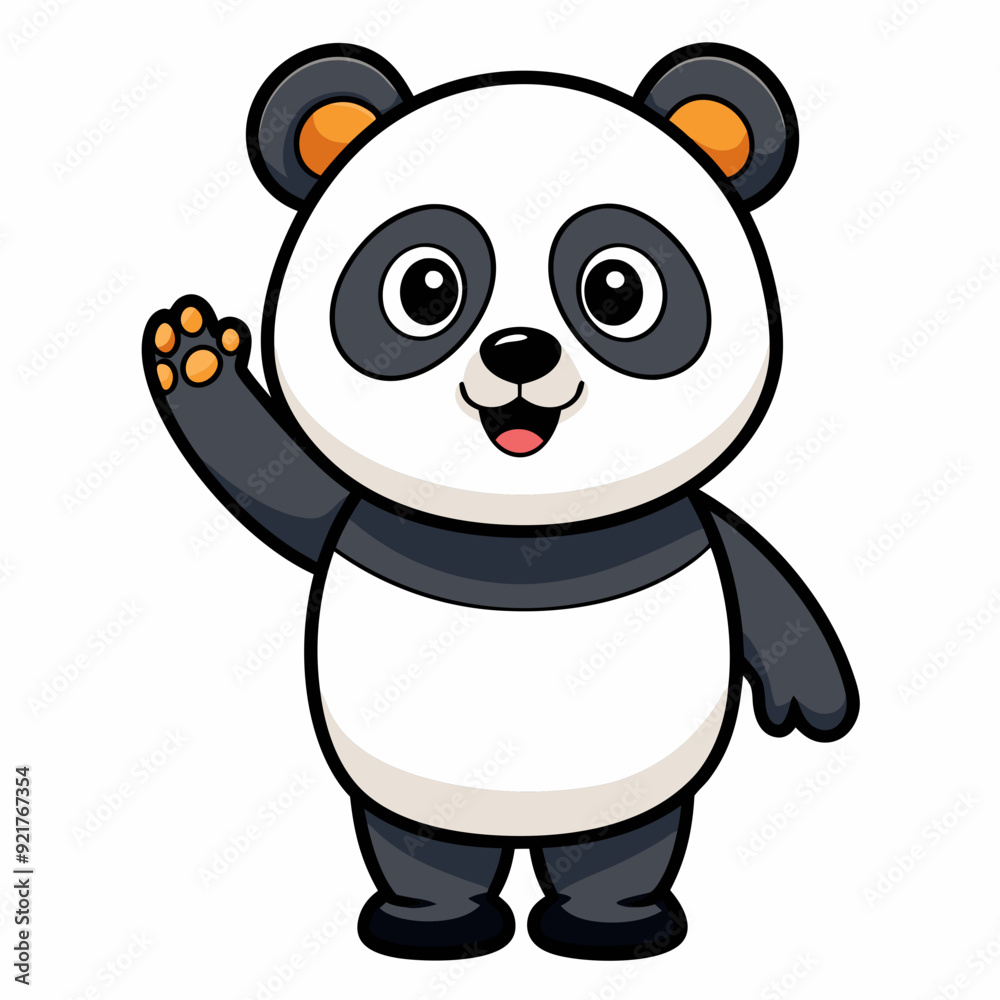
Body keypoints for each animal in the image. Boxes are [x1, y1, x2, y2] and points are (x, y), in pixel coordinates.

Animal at [143, 43, 859, 962]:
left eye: (616, 289)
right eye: (426, 288)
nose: (520, 349)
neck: (522, 522)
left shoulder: (690, 521)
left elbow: (757, 571)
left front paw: (812, 698)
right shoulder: (358, 513)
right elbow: (285, 488)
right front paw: (195, 358)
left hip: (628, 785)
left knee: (621, 844)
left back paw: (612, 924)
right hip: (414, 791)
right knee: (422, 846)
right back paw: (431, 923)